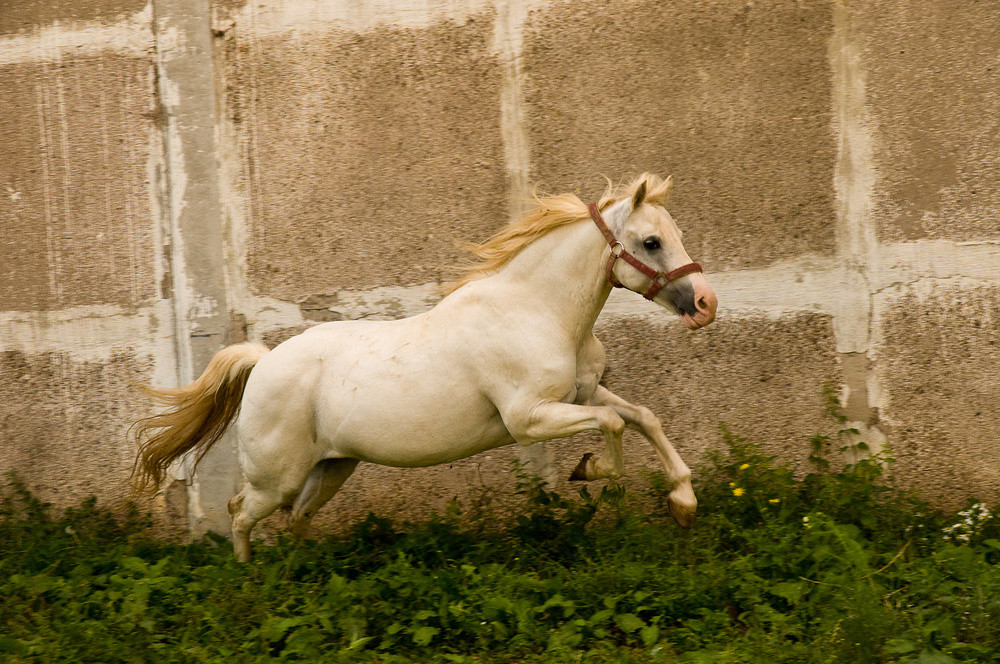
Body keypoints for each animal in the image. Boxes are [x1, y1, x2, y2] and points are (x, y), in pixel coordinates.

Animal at [131, 172, 720, 560]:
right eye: (651, 241)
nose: (706, 304)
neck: (537, 310)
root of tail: (263, 361)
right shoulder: (529, 419)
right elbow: (616, 426)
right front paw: (588, 469)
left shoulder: (582, 394)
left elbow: (643, 418)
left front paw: (683, 502)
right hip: (276, 476)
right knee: (239, 513)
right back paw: (252, 586)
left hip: (332, 467)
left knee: (295, 518)